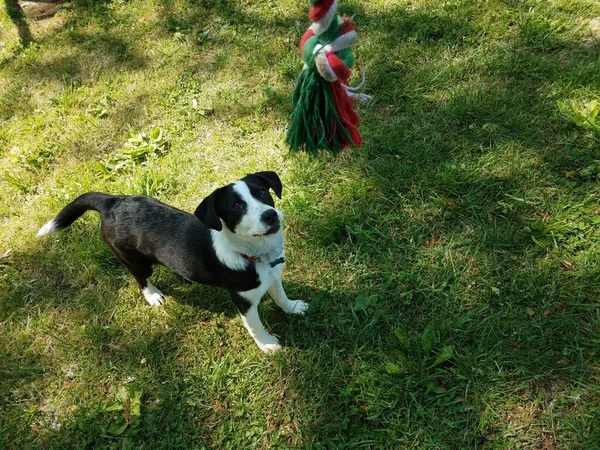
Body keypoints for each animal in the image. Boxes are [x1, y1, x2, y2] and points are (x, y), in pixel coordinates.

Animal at [36, 171, 310, 352]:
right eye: (236, 205)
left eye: (263, 192)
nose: (270, 215)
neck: (253, 253)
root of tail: (110, 202)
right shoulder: (244, 300)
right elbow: (255, 326)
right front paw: (267, 345)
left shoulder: (273, 276)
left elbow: (281, 296)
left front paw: (293, 307)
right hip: (135, 260)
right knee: (140, 278)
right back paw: (153, 295)